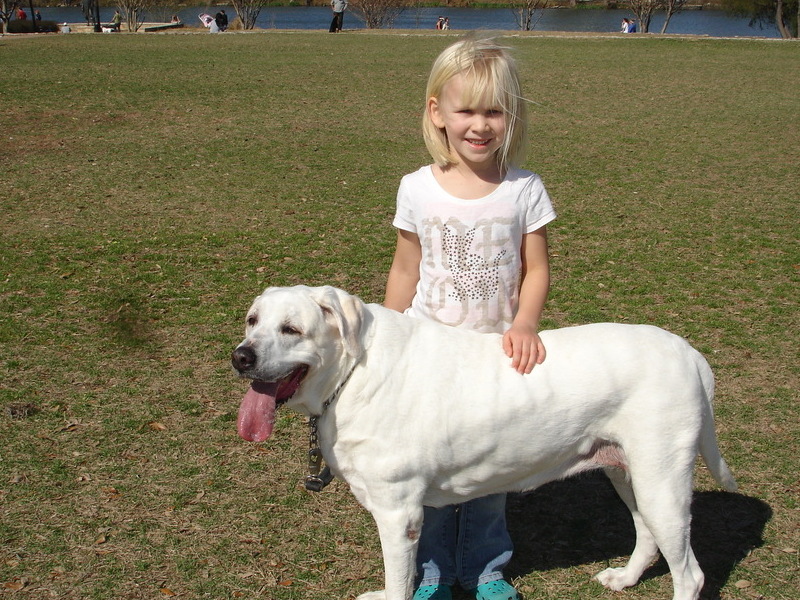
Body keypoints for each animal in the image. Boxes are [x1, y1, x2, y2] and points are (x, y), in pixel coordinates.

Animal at [231, 284, 736, 600]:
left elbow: (398, 582)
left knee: (690, 575)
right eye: (252, 321)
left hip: (661, 479)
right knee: (647, 534)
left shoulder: (398, 515)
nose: (241, 356)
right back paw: (625, 578)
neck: (351, 373)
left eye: (292, 329)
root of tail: (689, 352)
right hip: (628, 473)